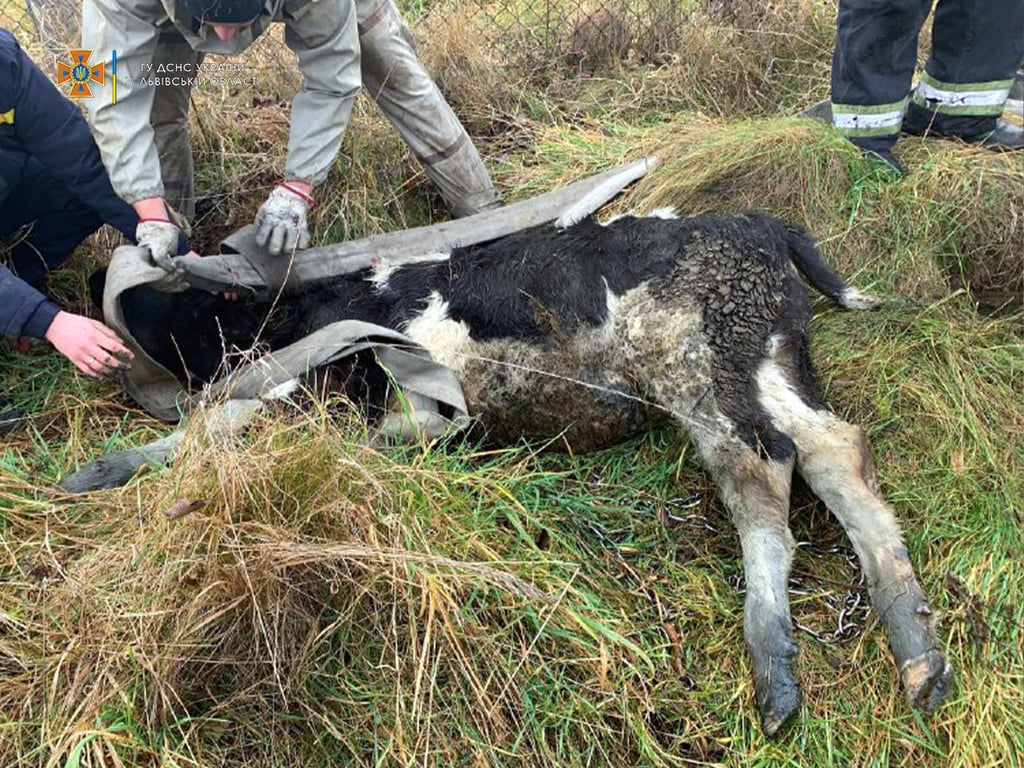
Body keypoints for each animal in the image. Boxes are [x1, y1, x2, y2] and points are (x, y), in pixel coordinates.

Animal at [101, 208, 950, 733]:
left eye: (190, 298)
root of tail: (756, 223)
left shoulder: (365, 388)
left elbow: (232, 422)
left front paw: (108, 468)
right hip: (764, 355)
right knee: (835, 450)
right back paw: (918, 651)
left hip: (692, 358)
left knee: (761, 465)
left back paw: (775, 661)